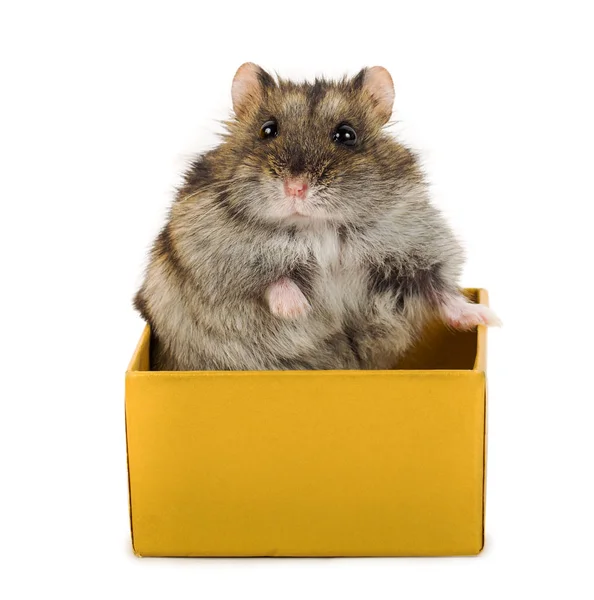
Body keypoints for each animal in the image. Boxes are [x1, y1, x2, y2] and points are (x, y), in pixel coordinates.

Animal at [134, 62, 500, 370]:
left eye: (346, 134)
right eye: (268, 130)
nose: (296, 188)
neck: (318, 227)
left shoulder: (417, 249)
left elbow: (442, 289)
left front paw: (488, 317)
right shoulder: (213, 254)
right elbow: (272, 278)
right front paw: (298, 310)